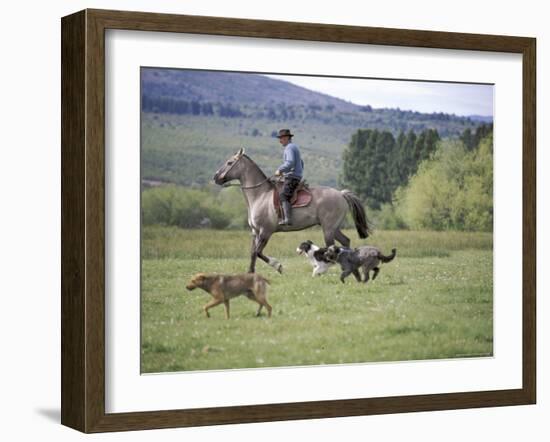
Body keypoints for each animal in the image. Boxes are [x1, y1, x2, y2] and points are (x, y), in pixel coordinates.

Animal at [212, 148, 370, 272]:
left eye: (229, 163)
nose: (216, 177)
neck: (260, 195)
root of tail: (341, 194)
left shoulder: (265, 232)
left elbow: (258, 252)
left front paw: (278, 266)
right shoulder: (255, 232)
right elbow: (253, 253)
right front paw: (250, 273)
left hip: (328, 229)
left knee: (331, 247)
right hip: (334, 228)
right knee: (345, 241)